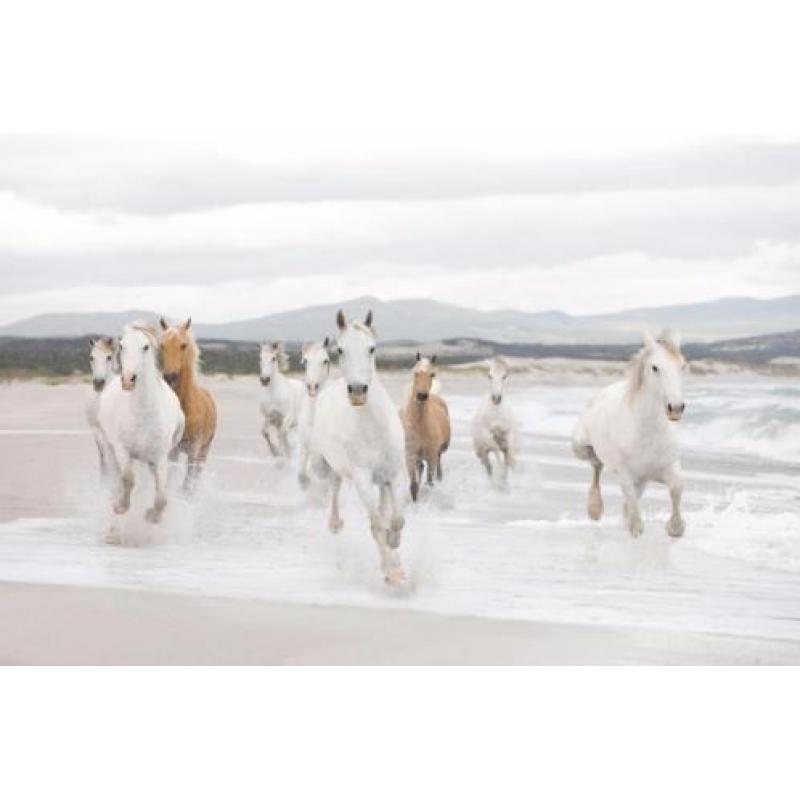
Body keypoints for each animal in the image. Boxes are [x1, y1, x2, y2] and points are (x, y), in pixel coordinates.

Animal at [97, 323, 185, 538]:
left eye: (145, 347)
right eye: (122, 346)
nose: (128, 380)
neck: (143, 414)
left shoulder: (160, 457)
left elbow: (161, 497)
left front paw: (152, 516)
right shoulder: (122, 450)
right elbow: (128, 479)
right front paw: (120, 507)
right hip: (109, 449)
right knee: (116, 482)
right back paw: (113, 529)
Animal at [159, 317, 218, 495]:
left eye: (183, 345)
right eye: (162, 345)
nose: (169, 376)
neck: (186, 409)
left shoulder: (194, 451)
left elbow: (187, 486)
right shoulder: (172, 450)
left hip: (203, 452)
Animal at [310, 310, 407, 585]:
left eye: (372, 348)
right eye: (340, 350)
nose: (357, 391)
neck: (374, 428)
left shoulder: (396, 474)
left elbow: (396, 519)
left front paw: (394, 547)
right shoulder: (363, 478)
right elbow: (376, 526)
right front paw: (392, 571)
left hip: (382, 480)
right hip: (328, 465)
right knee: (334, 486)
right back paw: (335, 524)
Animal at [401, 353, 451, 501]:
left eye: (432, 374)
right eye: (415, 372)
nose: (422, 396)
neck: (420, 427)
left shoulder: (431, 456)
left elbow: (429, 481)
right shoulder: (410, 455)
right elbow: (413, 485)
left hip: (438, 451)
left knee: (438, 462)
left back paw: (440, 477)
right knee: (421, 468)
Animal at [571, 329, 687, 538]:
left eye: (682, 366)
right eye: (655, 367)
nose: (675, 408)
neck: (648, 434)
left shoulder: (668, 467)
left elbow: (676, 487)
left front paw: (675, 527)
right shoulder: (626, 474)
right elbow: (632, 506)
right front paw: (634, 526)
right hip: (580, 446)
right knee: (596, 465)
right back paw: (595, 508)